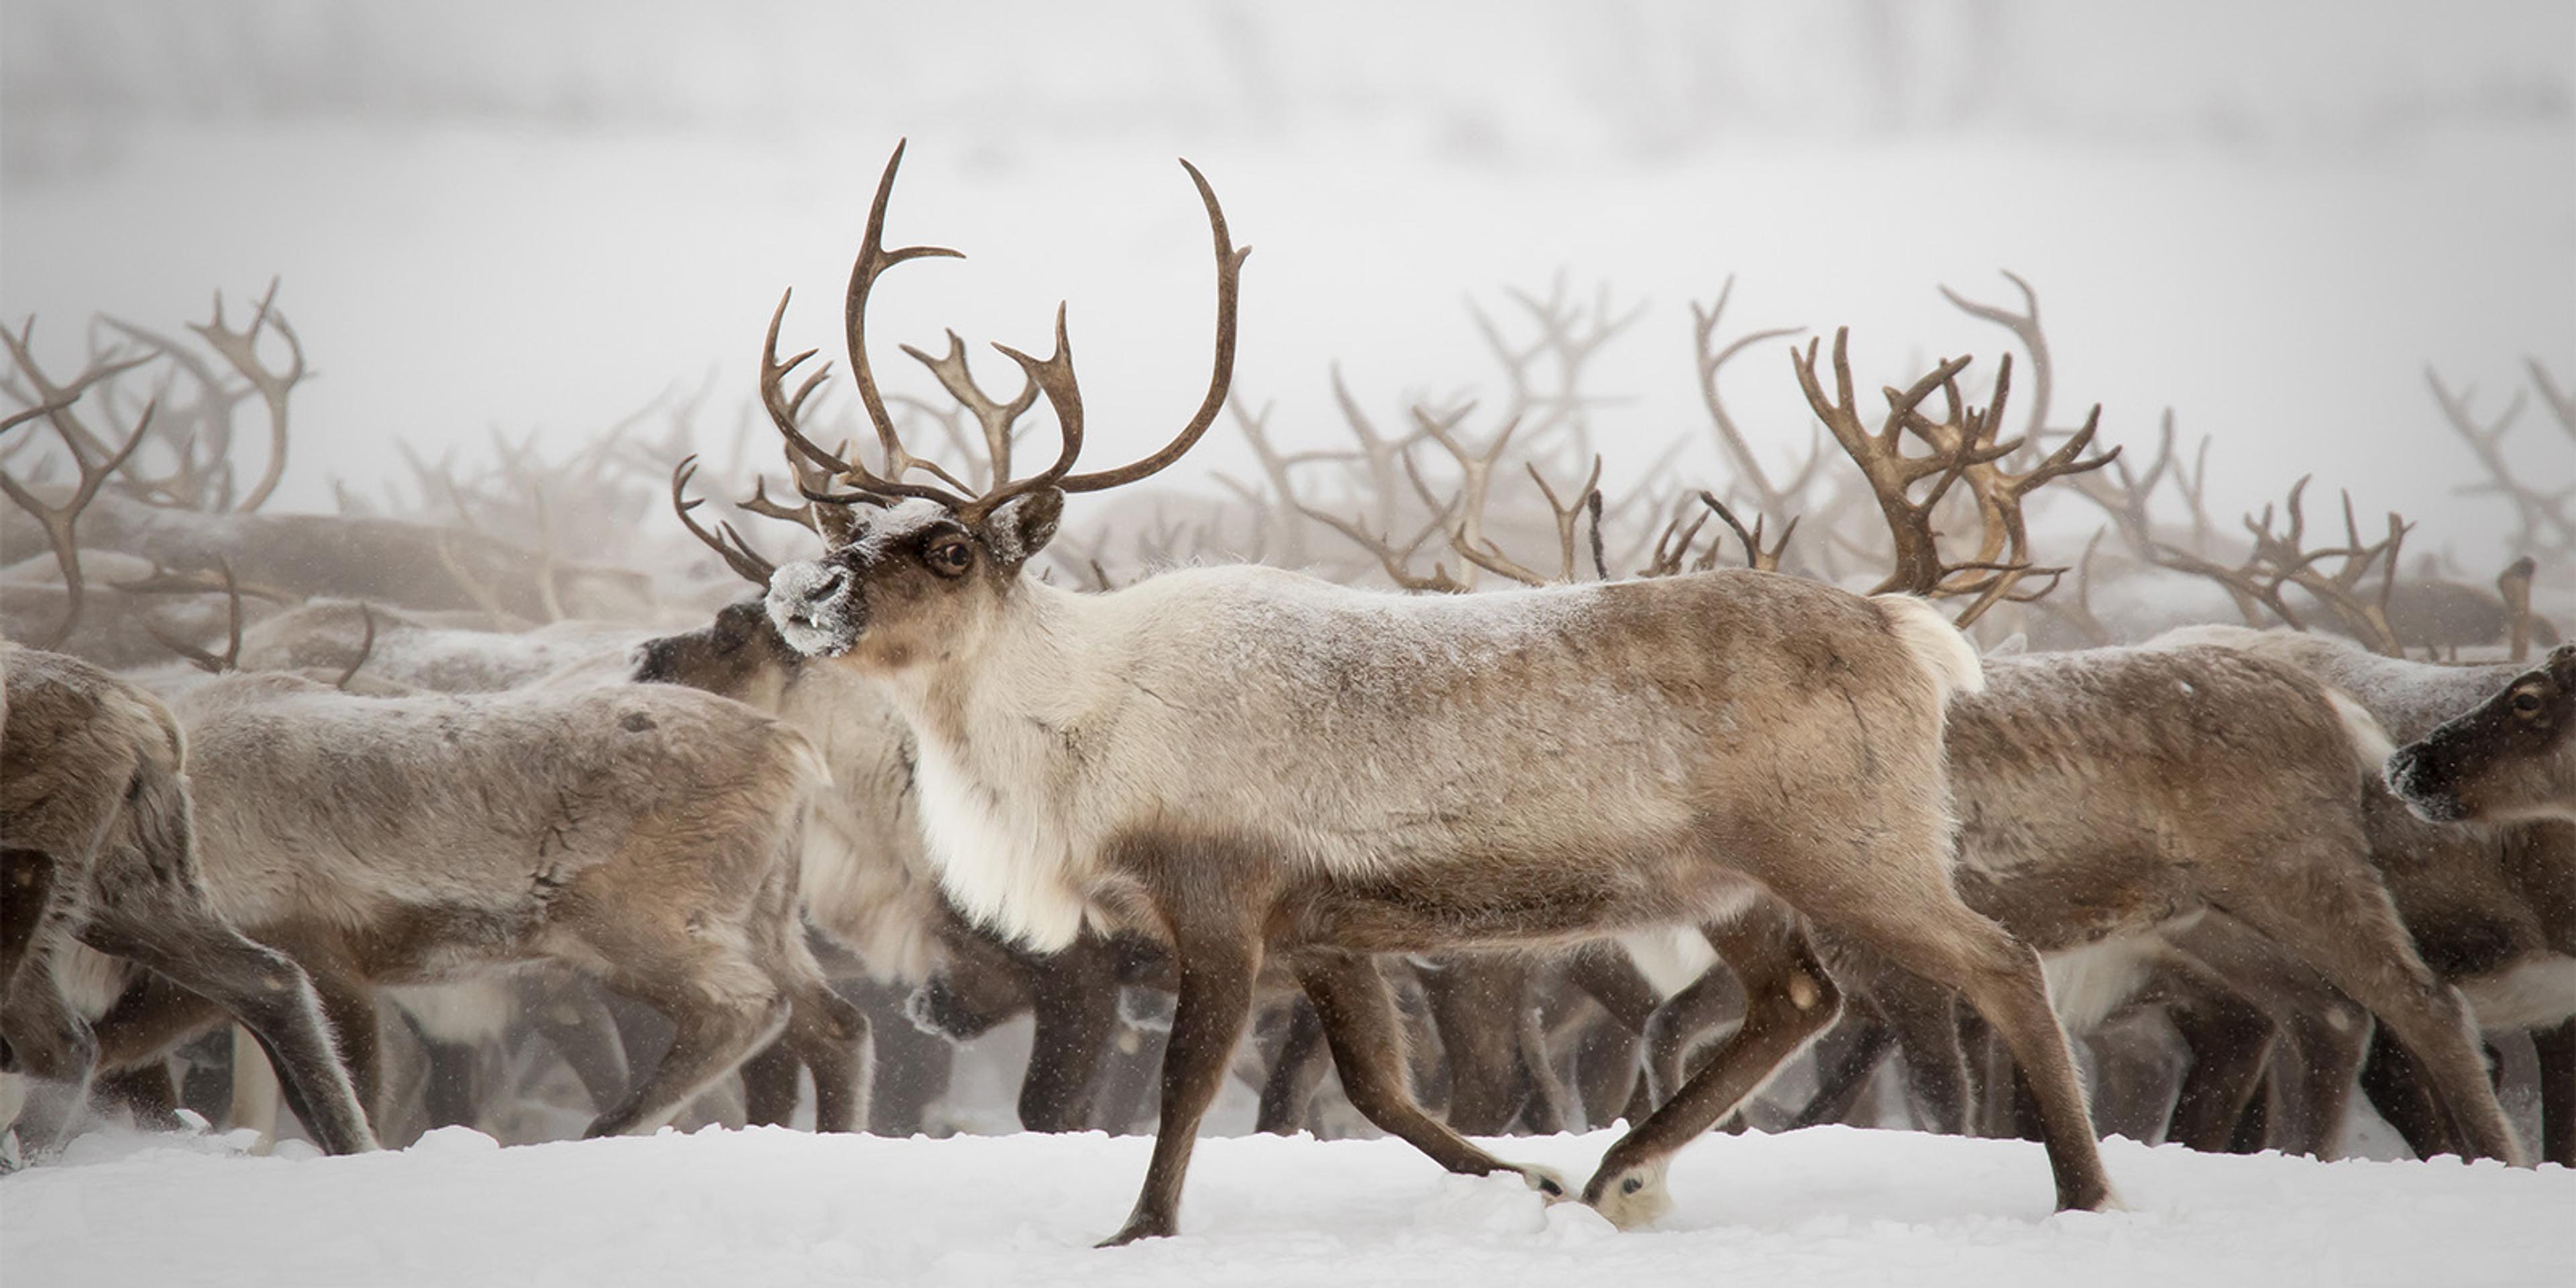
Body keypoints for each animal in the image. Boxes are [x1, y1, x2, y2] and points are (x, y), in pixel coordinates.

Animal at [742, 141, 2111, 1243]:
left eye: (949, 548)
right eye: (848, 523)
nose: (802, 592)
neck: (1073, 728)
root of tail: (1907, 629)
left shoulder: (1220, 895)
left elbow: (1191, 1081)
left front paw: (1139, 1231)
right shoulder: (1325, 926)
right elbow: (1379, 1090)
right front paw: (1527, 1182)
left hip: (1853, 846)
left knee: (1998, 963)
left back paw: (2083, 1193)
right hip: (1730, 880)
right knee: (1798, 999)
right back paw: (1620, 1173)